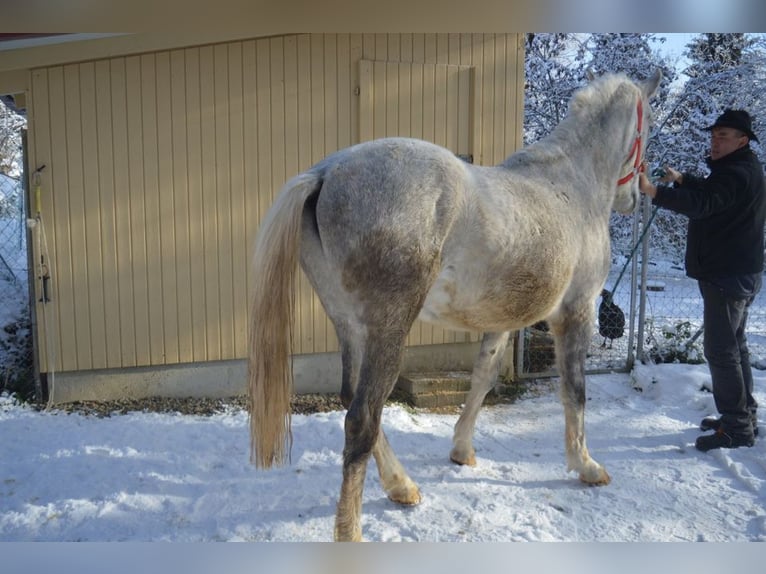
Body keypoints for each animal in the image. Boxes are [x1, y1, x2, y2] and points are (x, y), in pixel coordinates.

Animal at [249, 70, 664, 544]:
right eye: (649, 125)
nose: (635, 197)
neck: (570, 185)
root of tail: (325, 172)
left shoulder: (504, 320)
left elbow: (483, 377)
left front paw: (462, 450)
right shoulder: (575, 312)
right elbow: (574, 391)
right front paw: (586, 465)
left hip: (349, 324)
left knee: (352, 397)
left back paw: (402, 486)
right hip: (388, 330)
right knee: (362, 417)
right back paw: (353, 529)